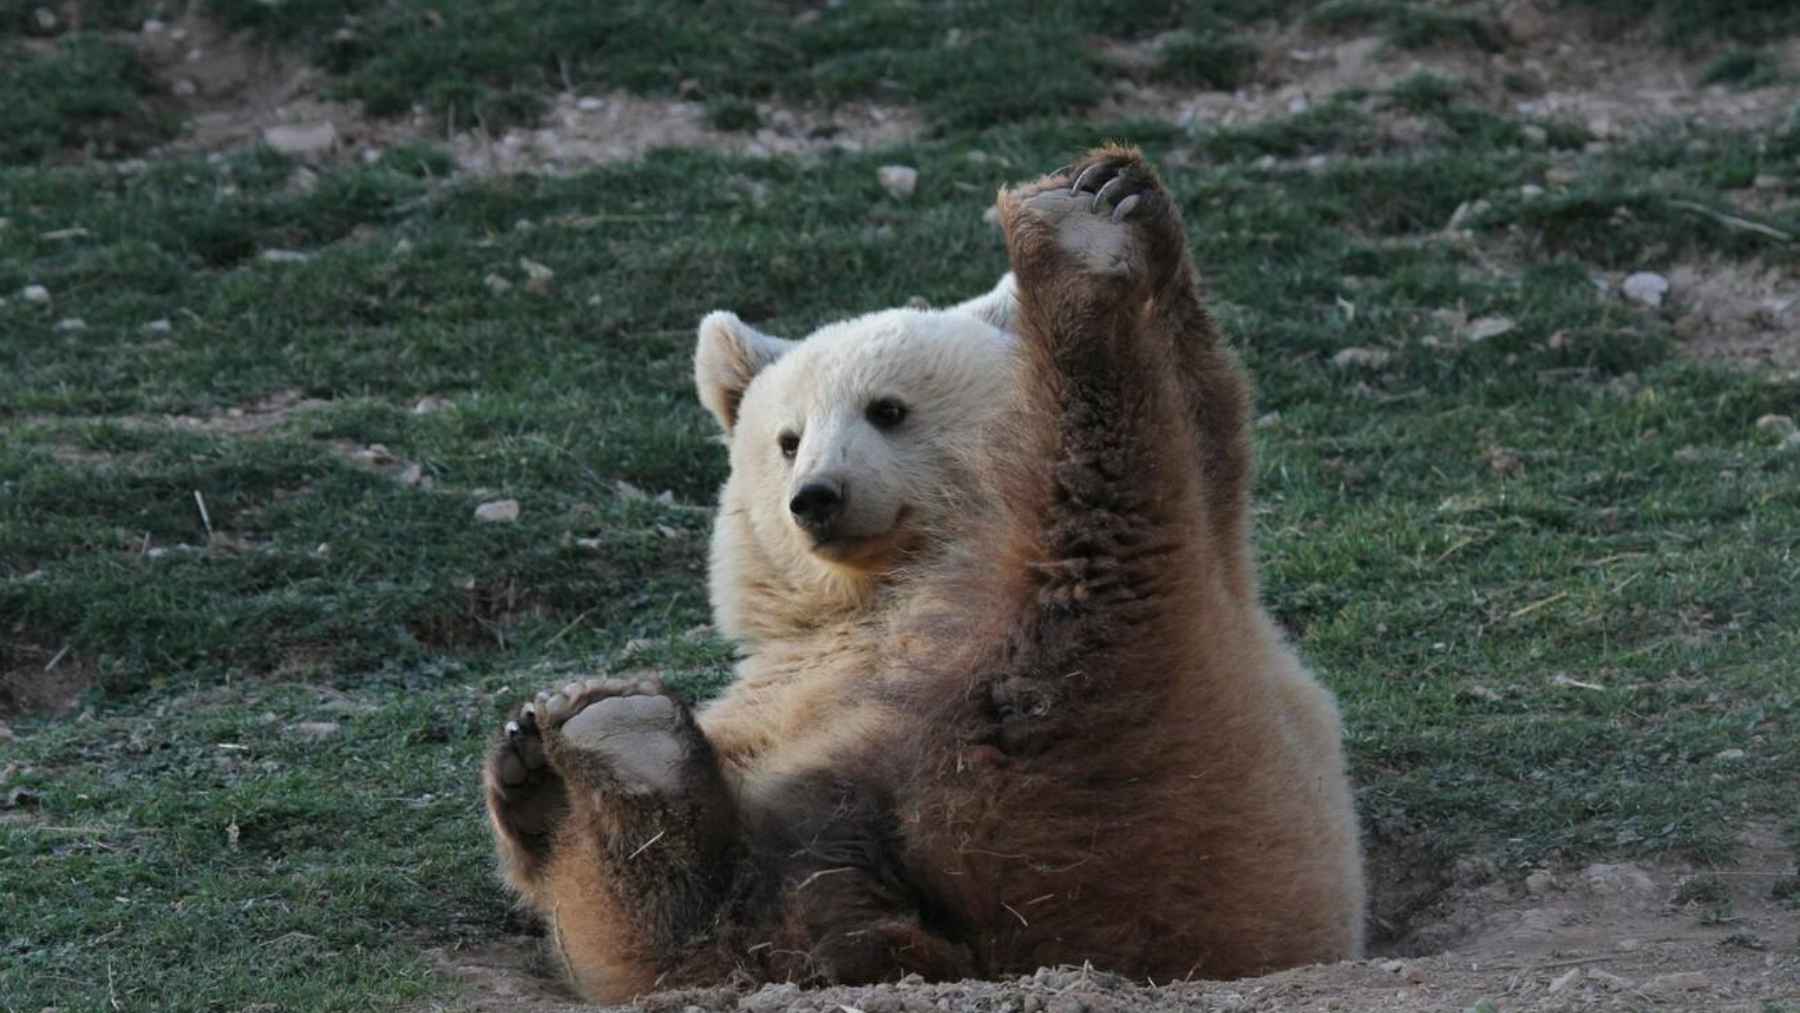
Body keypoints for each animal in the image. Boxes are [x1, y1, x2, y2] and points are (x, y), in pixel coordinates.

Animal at [482, 146, 1366, 1003]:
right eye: (787, 438)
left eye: (887, 408)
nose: (817, 497)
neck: (889, 580)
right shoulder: (785, 681)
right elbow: (1204, 408)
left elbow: (1200, 431)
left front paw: (1109, 201)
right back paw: (598, 744)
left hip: (1157, 783)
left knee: (1072, 632)